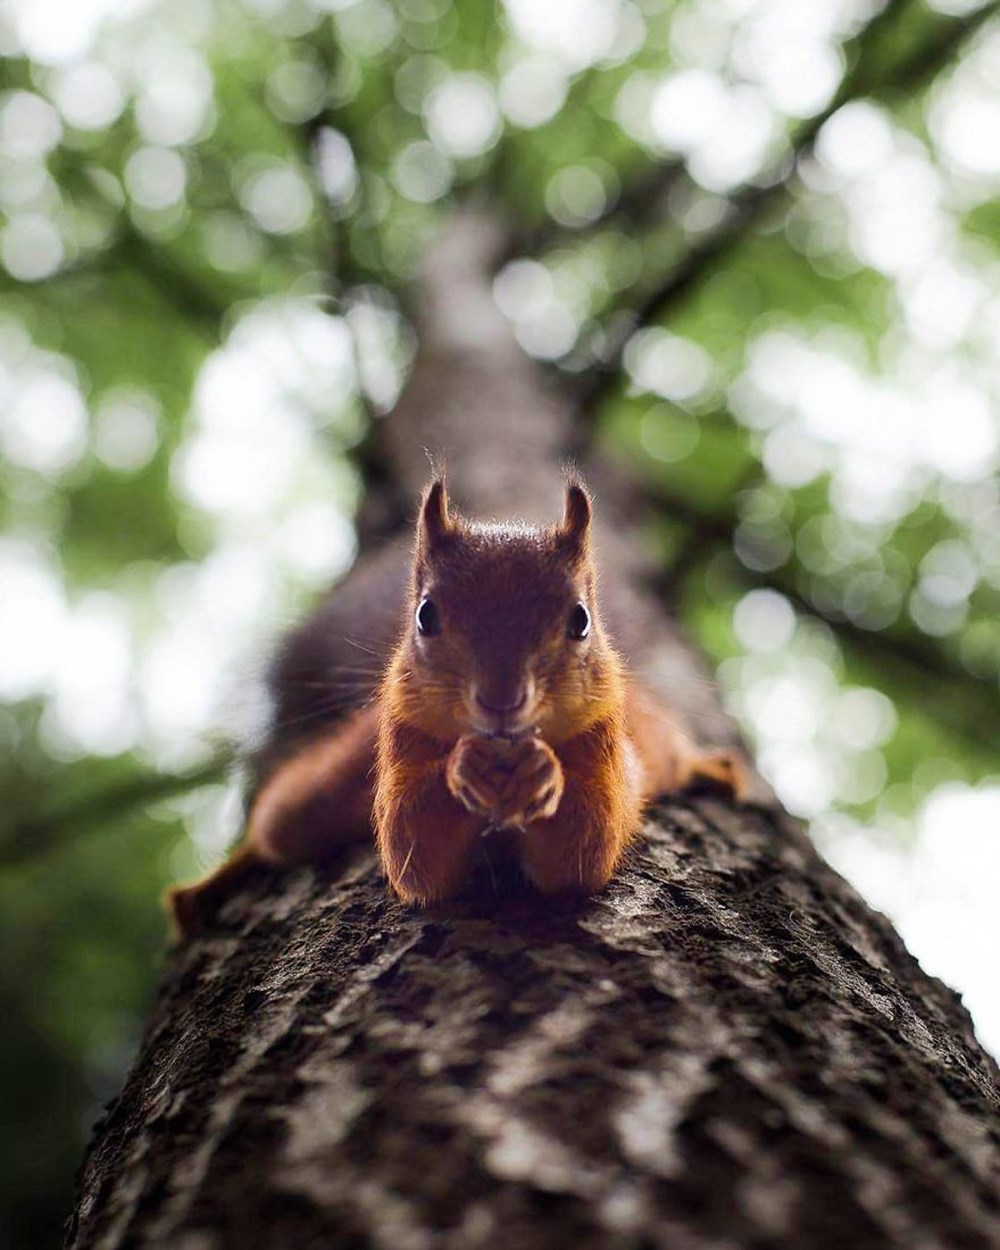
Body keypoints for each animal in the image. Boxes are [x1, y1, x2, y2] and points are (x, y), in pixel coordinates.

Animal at [167, 472, 740, 935]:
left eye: (580, 619)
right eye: (425, 615)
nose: (501, 700)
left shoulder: (603, 736)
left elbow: (582, 850)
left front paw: (544, 773)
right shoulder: (401, 731)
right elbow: (414, 849)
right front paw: (462, 767)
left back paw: (712, 767)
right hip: (325, 790)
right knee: (280, 823)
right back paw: (215, 881)